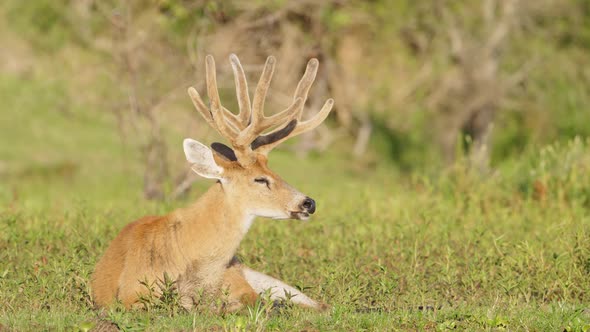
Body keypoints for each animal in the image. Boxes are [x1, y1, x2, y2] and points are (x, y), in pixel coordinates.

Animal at [91, 53, 336, 312]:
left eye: (274, 171)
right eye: (260, 179)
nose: (308, 203)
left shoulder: (241, 286)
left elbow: (253, 302)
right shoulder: (132, 295)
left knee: (319, 304)